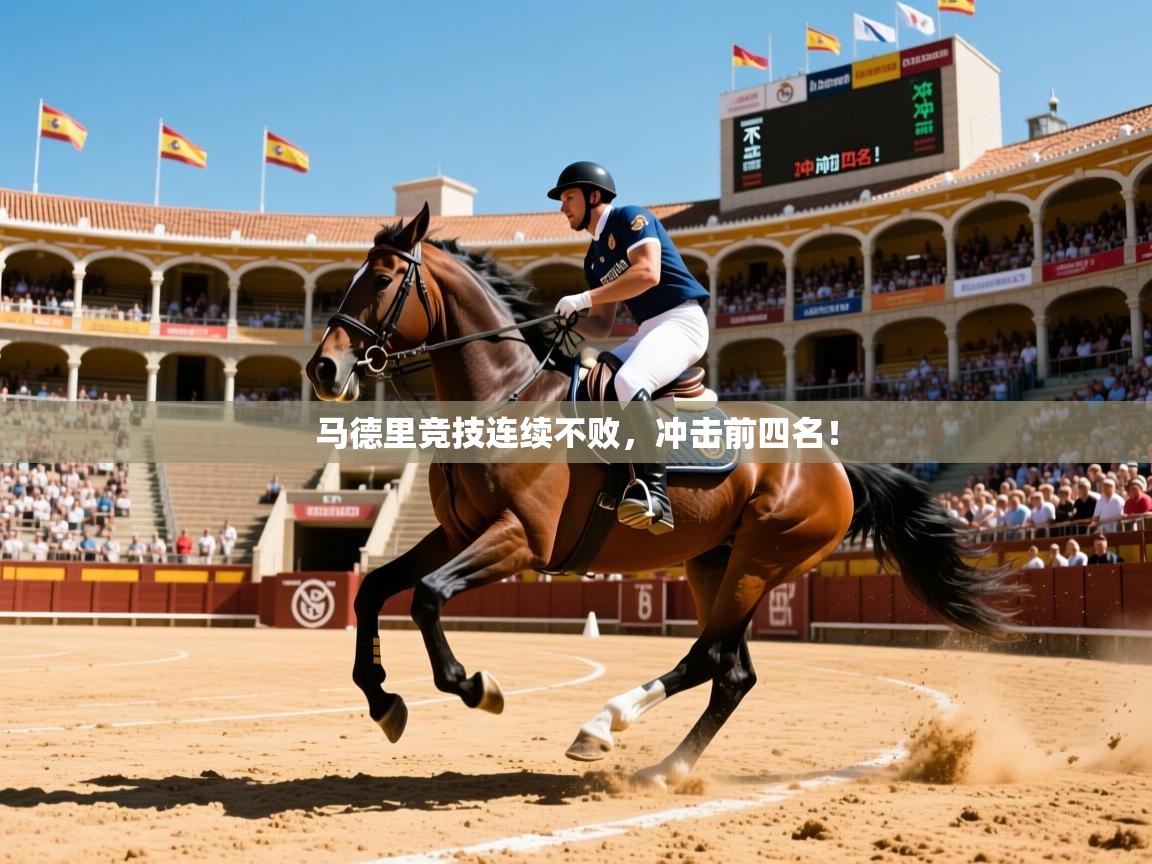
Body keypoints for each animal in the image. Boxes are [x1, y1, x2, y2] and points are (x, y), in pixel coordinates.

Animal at [305, 203, 1016, 787]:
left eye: (380, 280)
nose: (323, 369)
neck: (505, 396)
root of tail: (835, 464)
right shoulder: (456, 534)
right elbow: (373, 589)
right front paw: (382, 700)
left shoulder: (519, 540)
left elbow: (427, 597)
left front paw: (475, 686)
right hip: (714, 563)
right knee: (732, 671)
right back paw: (663, 766)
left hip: (761, 560)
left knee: (711, 656)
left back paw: (604, 725)